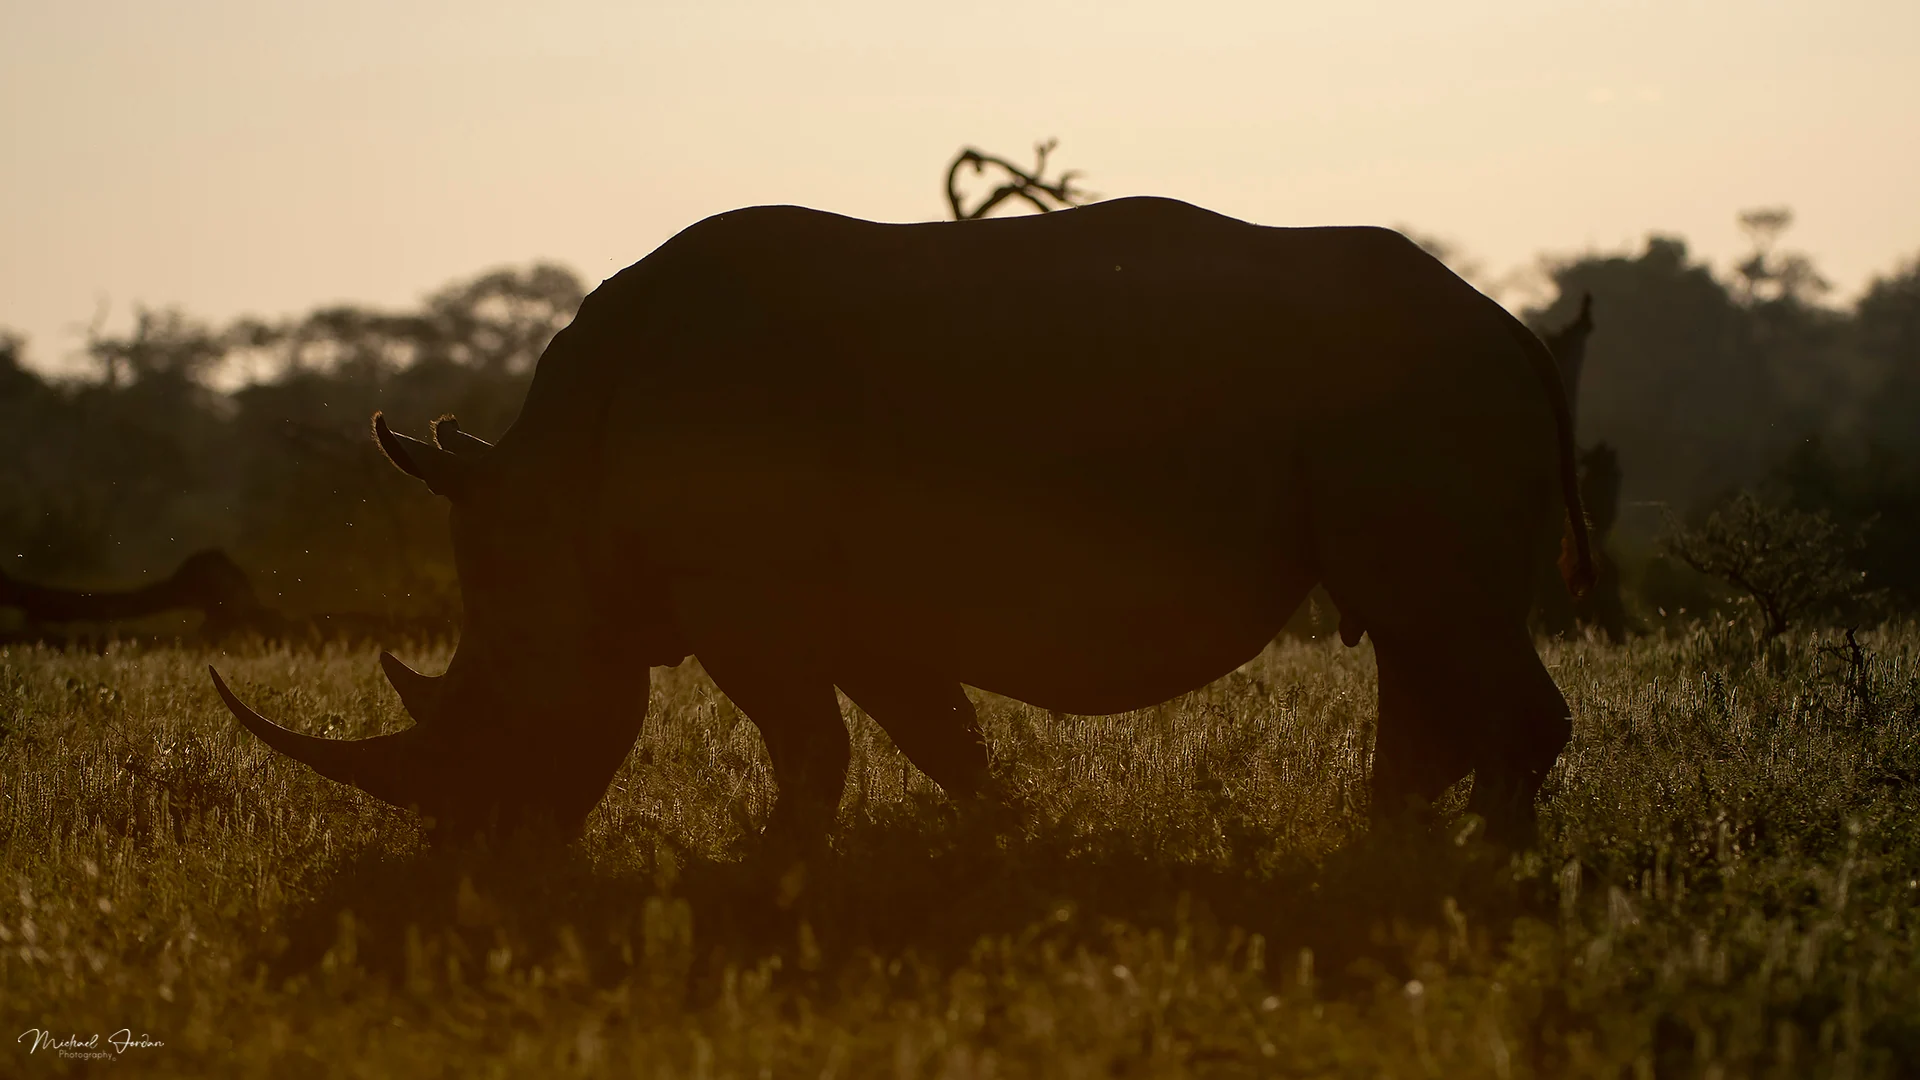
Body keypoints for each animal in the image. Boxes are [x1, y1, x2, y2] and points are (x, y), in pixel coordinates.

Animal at [212, 196, 1591, 843]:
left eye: (497, 707)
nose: (482, 850)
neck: (556, 497)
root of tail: (1514, 331)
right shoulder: (842, 597)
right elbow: (937, 734)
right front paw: (1008, 843)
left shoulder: (743, 591)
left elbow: (811, 744)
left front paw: (767, 878)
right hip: (1394, 400)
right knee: (1417, 634)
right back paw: (1390, 857)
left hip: (1415, 388)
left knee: (1436, 620)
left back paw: (1480, 879)